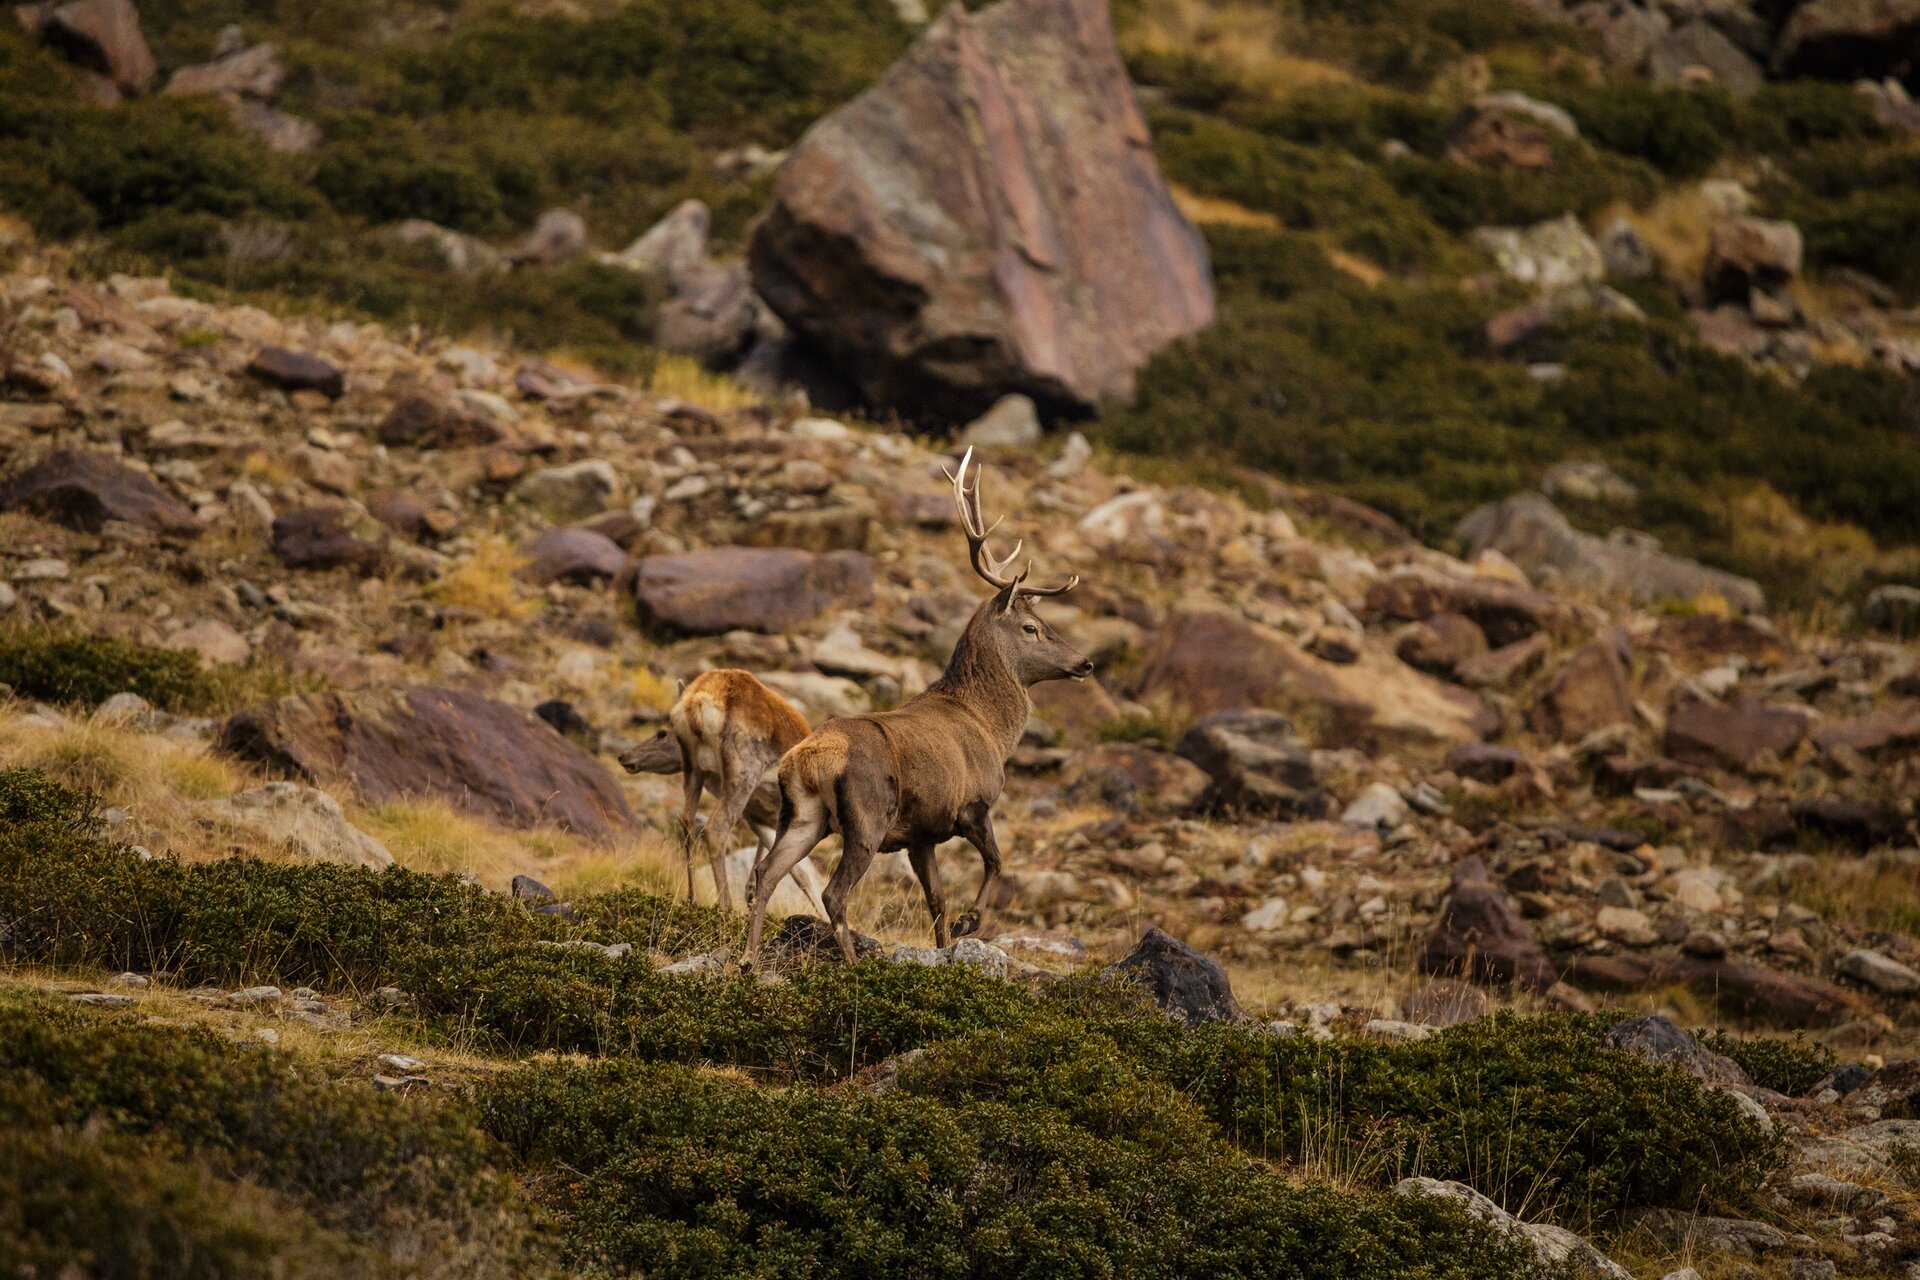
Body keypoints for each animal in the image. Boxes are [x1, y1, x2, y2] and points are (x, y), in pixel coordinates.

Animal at [617, 669, 820, 915]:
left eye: (662, 733)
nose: (624, 755)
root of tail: (695, 704)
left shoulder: (759, 814)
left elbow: (801, 871)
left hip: (694, 770)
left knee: (686, 821)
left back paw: (693, 899)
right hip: (742, 774)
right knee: (715, 830)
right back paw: (726, 907)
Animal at [740, 447, 1093, 968]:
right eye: (1031, 627)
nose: (1085, 662)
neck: (991, 729)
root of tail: (808, 760)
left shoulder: (921, 834)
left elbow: (936, 899)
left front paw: (947, 947)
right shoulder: (971, 804)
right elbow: (996, 861)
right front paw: (971, 923)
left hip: (803, 816)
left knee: (766, 873)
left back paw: (747, 959)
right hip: (867, 815)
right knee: (833, 893)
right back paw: (851, 964)